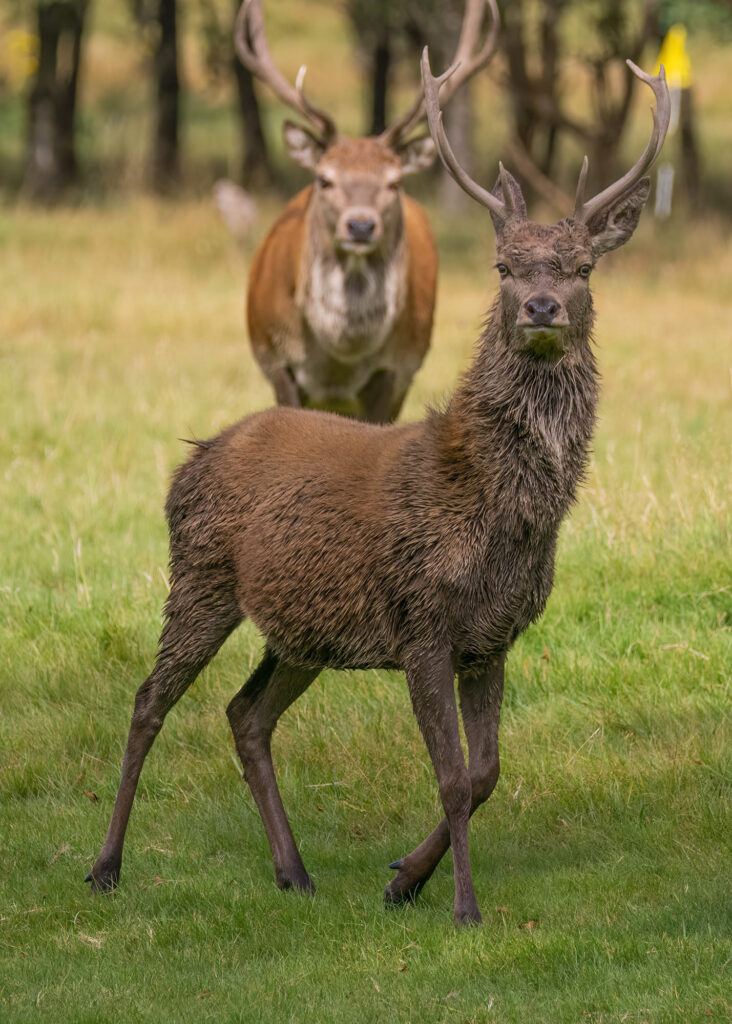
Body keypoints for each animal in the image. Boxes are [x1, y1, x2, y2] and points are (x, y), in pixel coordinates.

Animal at [85, 56, 671, 925]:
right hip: (199, 577)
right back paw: (106, 866)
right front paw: (463, 907)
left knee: (245, 713)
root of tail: (192, 459)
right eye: (503, 267)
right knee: (149, 700)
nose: (541, 307)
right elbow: (455, 778)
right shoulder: (423, 622)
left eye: (581, 267)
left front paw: (403, 878)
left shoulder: (492, 637)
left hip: (302, 629)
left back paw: (293, 870)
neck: (501, 516)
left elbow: (488, 773)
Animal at [237, 0, 501, 419]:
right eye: (325, 178)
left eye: (394, 182)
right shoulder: (275, 358)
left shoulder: (396, 367)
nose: (360, 226)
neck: (338, 363)